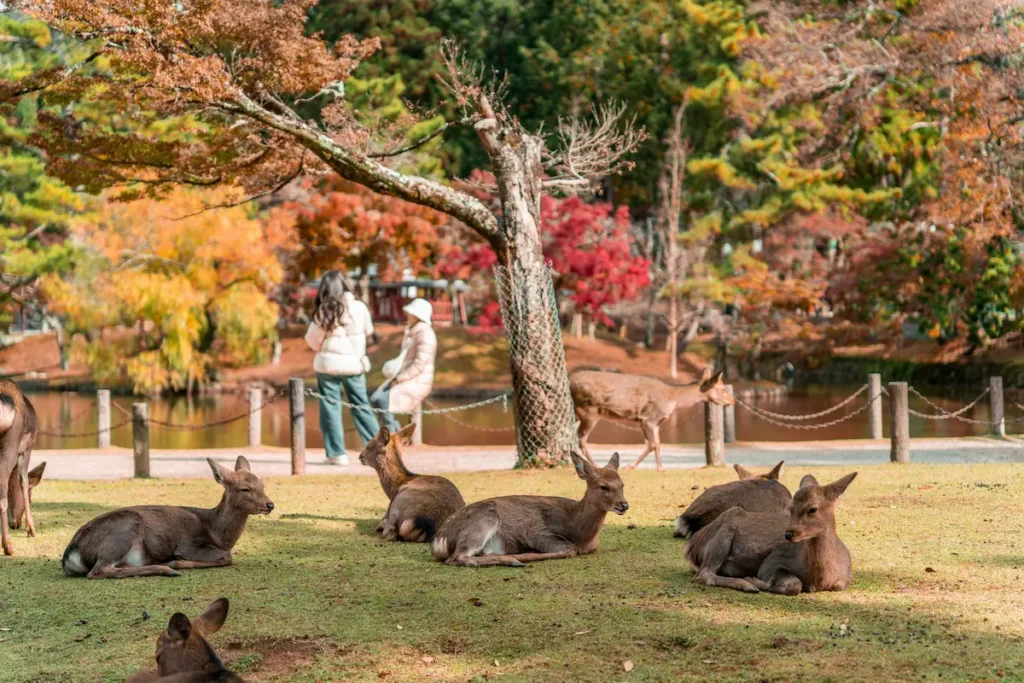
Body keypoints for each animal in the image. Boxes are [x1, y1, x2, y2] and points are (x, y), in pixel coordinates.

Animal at [62, 456, 273, 579]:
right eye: (245, 489)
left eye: (262, 485)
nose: (270, 505)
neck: (216, 533)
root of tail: (70, 554)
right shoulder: (189, 544)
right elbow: (227, 557)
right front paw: (176, 562)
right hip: (123, 529)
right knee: (97, 571)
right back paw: (167, 569)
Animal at [431, 452, 627, 567]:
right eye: (603, 486)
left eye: (622, 484)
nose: (624, 505)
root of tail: (438, 541)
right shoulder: (537, 532)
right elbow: (569, 550)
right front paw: (529, 554)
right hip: (483, 519)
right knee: (457, 557)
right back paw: (514, 560)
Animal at [570, 367, 735, 471]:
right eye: (722, 389)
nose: (732, 401)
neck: (672, 400)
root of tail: (569, 381)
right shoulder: (648, 419)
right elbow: (652, 444)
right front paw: (630, 466)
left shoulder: (656, 422)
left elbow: (658, 443)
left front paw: (660, 468)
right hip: (589, 410)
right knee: (581, 437)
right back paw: (596, 465)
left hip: (580, 411)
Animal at [685, 472, 858, 594]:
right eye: (790, 508)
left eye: (812, 509)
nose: (788, 534)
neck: (819, 579)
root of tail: (690, 547)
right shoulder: (772, 561)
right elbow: (794, 585)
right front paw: (754, 580)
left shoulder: (842, 582)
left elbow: (837, 585)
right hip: (723, 534)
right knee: (703, 574)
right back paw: (746, 585)